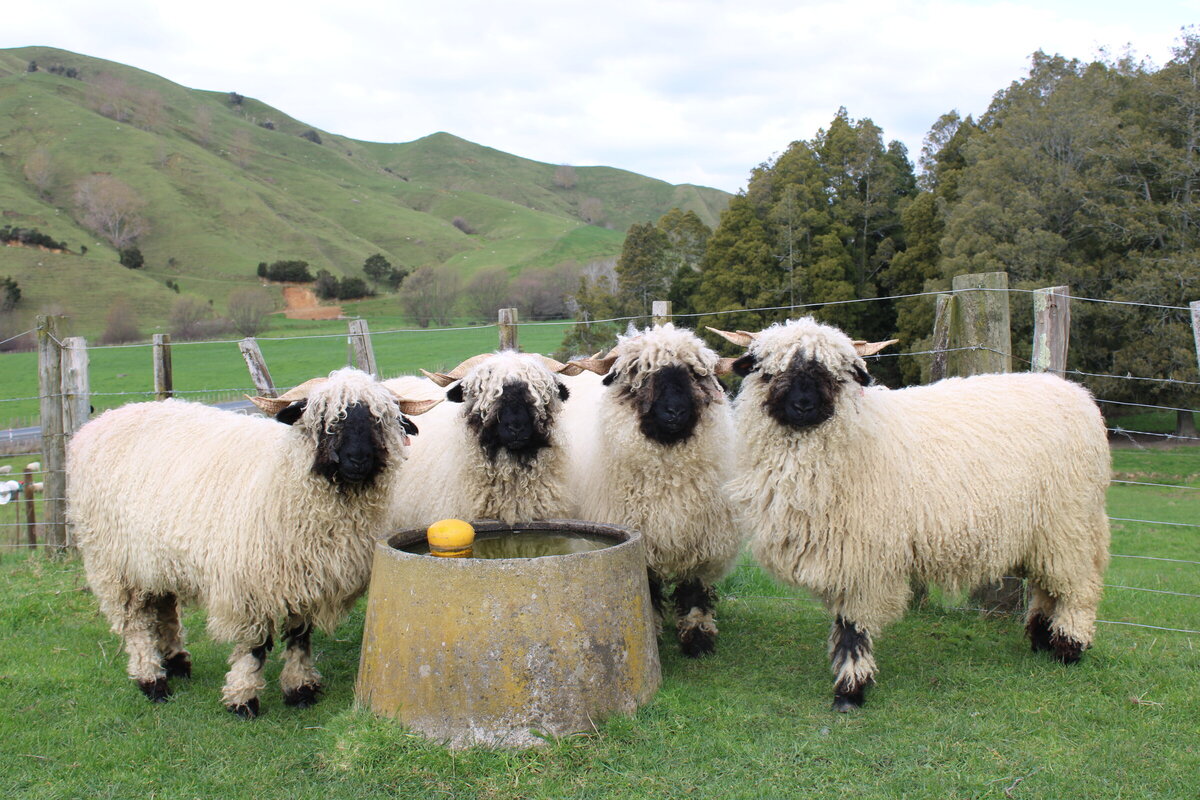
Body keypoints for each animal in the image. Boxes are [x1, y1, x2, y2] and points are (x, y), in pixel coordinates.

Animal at [68, 368, 439, 718]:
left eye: (380, 419)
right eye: (325, 421)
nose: (358, 460)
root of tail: (103, 420)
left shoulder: (303, 578)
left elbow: (300, 638)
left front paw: (300, 689)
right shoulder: (249, 587)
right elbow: (253, 647)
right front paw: (242, 698)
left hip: (154, 559)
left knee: (164, 608)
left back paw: (177, 663)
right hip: (112, 561)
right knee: (135, 623)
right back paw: (152, 679)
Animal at [569, 323, 743, 657]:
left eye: (695, 374)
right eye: (641, 373)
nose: (675, 412)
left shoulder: (703, 539)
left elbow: (695, 590)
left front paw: (698, 638)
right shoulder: (639, 539)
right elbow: (647, 588)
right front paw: (651, 630)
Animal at [712, 317, 1110, 711]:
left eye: (836, 375)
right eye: (767, 372)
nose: (803, 405)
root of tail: (1077, 392)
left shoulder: (863, 559)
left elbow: (852, 627)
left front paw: (850, 690)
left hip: (1069, 522)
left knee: (1078, 589)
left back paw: (1069, 648)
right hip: (1044, 533)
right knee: (1047, 588)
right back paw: (1041, 640)